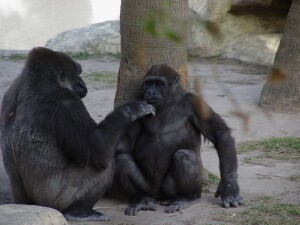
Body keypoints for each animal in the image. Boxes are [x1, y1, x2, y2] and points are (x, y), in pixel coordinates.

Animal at [0, 47, 155, 221]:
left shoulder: (11, 90)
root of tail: (34, 205)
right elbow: (96, 148)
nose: (82, 82)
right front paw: (131, 110)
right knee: (105, 164)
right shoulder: (66, 102)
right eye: (77, 74)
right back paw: (79, 211)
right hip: (54, 202)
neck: (37, 81)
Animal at [115, 64, 244, 215]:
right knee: (123, 159)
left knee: (184, 156)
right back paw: (141, 198)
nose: (151, 92)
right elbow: (124, 145)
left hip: (168, 191)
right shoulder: (137, 101)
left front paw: (229, 189)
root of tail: (158, 196)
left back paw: (188, 198)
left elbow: (220, 134)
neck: (170, 101)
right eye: (148, 83)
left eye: (159, 83)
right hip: (148, 188)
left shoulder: (195, 102)